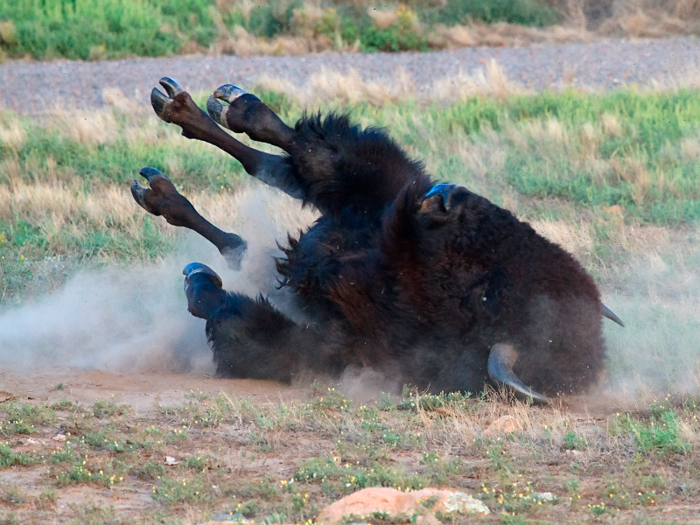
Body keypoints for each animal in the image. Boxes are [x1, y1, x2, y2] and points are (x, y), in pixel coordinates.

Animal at [133, 77, 624, 402]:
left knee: (247, 234)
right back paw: (196, 110)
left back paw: (161, 188)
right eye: (518, 236)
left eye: (487, 292)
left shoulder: (322, 345)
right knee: (289, 160)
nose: (446, 198)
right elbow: (313, 157)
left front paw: (198, 279)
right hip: (375, 192)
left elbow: (229, 314)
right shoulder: (379, 200)